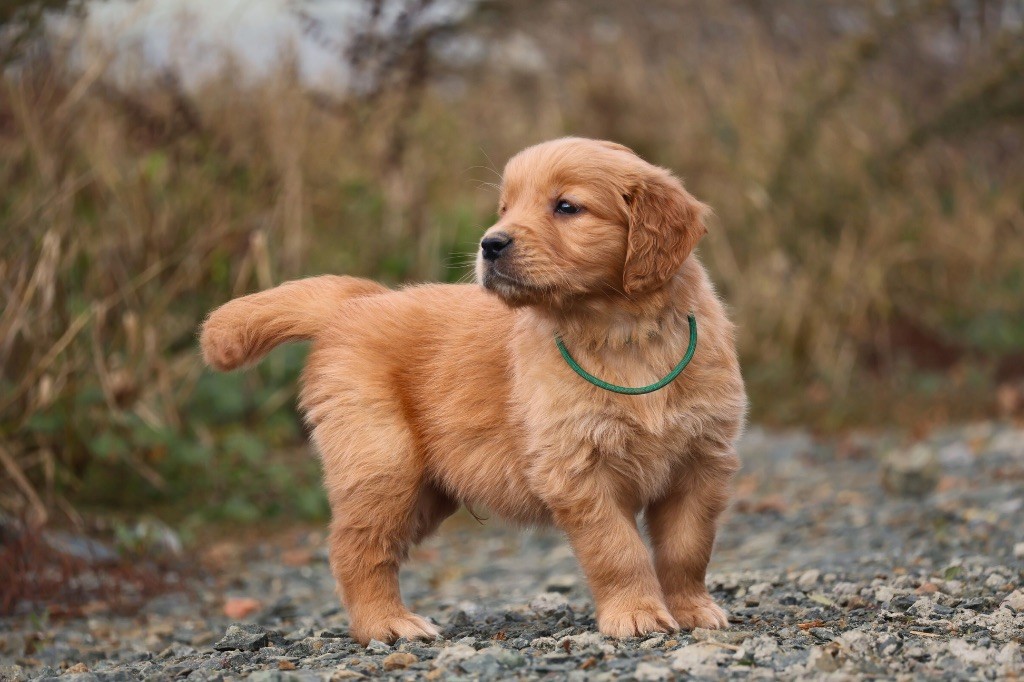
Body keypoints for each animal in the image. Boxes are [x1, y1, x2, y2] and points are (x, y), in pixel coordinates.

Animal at [199, 138, 745, 643]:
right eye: (504, 208)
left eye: (566, 206)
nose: (490, 244)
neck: (621, 332)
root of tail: (357, 301)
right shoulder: (577, 469)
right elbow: (618, 550)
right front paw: (635, 613)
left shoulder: (701, 461)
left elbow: (687, 548)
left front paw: (692, 609)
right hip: (383, 462)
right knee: (355, 547)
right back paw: (386, 623)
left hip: (426, 490)